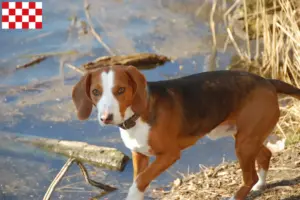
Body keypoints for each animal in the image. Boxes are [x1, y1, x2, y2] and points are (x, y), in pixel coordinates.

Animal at [72, 65, 300, 199]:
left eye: (120, 90)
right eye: (95, 92)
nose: (106, 118)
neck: (138, 116)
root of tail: (267, 81)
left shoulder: (169, 155)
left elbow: (139, 182)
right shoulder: (139, 154)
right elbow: (139, 178)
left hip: (244, 144)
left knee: (249, 176)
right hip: (246, 138)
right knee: (265, 155)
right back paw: (260, 185)